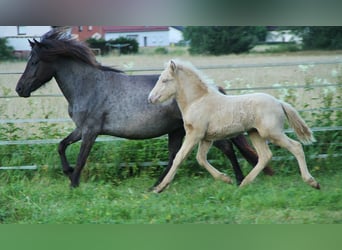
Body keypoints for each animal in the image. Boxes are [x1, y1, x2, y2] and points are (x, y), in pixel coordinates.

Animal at [15, 29, 272, 188]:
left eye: (34, 61)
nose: (20, 89)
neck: (89, 85)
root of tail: (211, 89)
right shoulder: (81, 129)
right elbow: (61, 145)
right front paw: (68, 173)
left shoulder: (90, 131)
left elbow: (81, 158)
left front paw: (73, 183)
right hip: (177, 130)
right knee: (174, 156)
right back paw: (156, 185)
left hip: (200, 130)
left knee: (226, 148)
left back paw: (237, 179)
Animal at [148, 60, 320, 193]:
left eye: (165, 80)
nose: (151, 98)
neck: (197, 101)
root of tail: (279, 102)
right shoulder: (206, 138)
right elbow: (200, 159)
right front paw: (226, 179)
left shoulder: (194, 134)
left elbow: (179, 157)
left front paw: (160, 188)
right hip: (255, 133)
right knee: (265, 156)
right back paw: (244, 183)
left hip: (272, 133)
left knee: (296, 147)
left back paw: (312, 182)